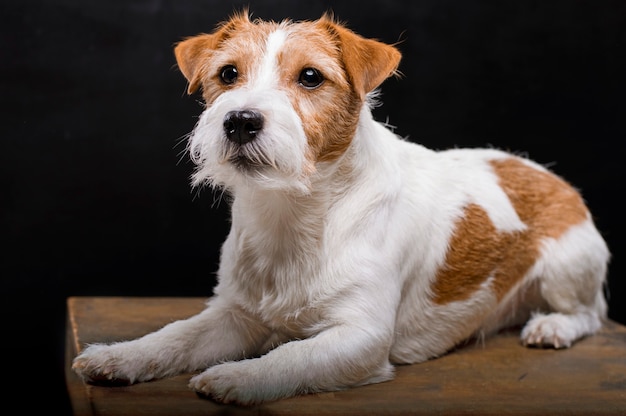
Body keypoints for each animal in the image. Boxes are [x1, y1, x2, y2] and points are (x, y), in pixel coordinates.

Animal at [70, 11, 608, 404]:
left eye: (311, 76)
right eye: (227, 74)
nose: (240, 120)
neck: (295, 212)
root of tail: (544, 172)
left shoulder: (360, 337)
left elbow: (291, 357)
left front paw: (240, 376)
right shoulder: (234, 315)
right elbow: (176, 335)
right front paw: (119, 357)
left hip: (568, 268)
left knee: (591, 314)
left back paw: (552, 326)